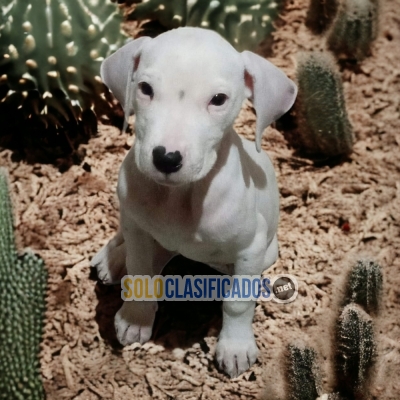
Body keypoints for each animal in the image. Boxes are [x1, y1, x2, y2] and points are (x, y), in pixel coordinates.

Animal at [92, 26, 296, 376]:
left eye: (218, 100)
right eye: (145, 89)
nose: (166, 158)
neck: (180, 197)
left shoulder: (251, 246)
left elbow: (238, 301)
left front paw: (235, 346)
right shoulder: (138, 227)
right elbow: (139, 268)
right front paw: (136, 317)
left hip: (267, 251)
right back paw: (114, 258)